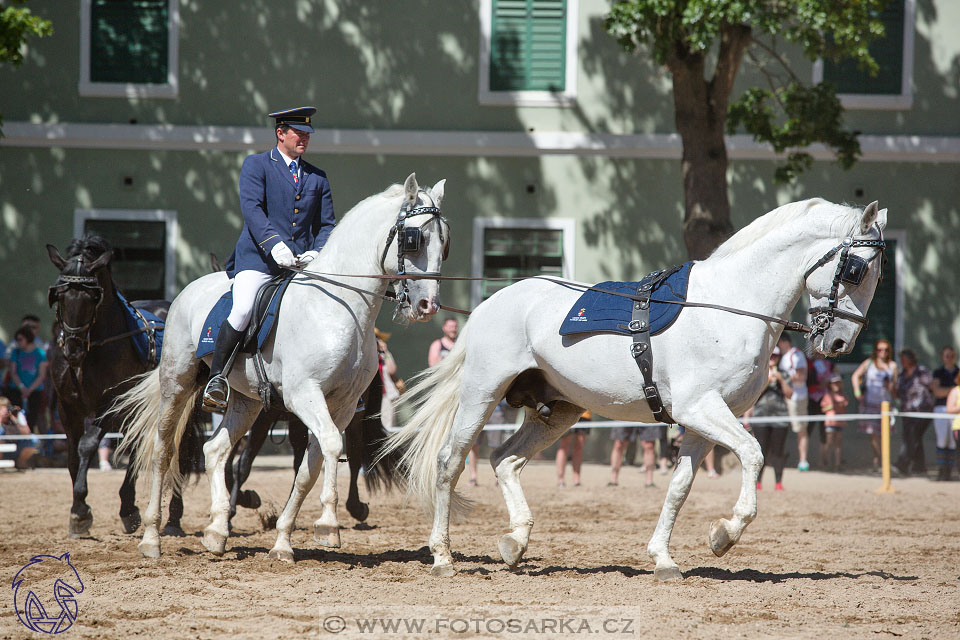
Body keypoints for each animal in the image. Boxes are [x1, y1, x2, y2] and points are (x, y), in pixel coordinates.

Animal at [47, 238, 202, 536]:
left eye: (93, 297)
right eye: (59, 295)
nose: (72, 349)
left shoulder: (112, 403)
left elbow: (87, 445)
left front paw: (81, 512)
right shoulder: (67, 407)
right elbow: (72, 456)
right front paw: (77, 507)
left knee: (179, 448)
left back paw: (169, 518)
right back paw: (129, 508)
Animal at [115, 174, 450, 560]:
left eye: (445, 241)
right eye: (414, 238)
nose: (427, 305)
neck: (339, 308)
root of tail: (186, 293)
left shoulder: (342, 405)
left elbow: (309, 467)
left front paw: (283, 542)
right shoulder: (303, 396)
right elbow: (331, 447)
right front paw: (327, 524)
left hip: (247, 402)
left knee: (216, 450)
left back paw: (217, 532)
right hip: (178, 383)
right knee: (163, 449)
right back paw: (152, 537)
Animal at [380, 198, 884, 576]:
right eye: (856, 269)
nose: (840, 342)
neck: (729, 306)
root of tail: (492, 302)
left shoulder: (701, 422)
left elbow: (679, 486)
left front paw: (664, 558)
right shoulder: (701, 408)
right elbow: (753, 454)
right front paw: (726, 533)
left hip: (559, 409)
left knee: (505, 459)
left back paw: (515, 541)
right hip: (482, 394)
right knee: (450, 461)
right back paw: (442, 556)